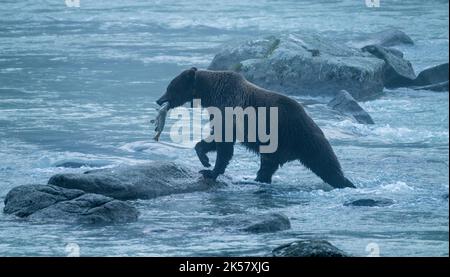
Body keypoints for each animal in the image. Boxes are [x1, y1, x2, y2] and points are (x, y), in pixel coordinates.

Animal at [157, 67, 356, 188]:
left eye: (170, 87)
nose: (159, 100)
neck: (209, 94)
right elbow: (217, 138)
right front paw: (206, 162)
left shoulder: (229, 107)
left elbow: (223, 141)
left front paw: (209, 169)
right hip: (278, 145)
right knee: (269, 165)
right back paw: (258, 179)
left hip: (299, 135)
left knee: (324, 161)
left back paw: (345, 182)